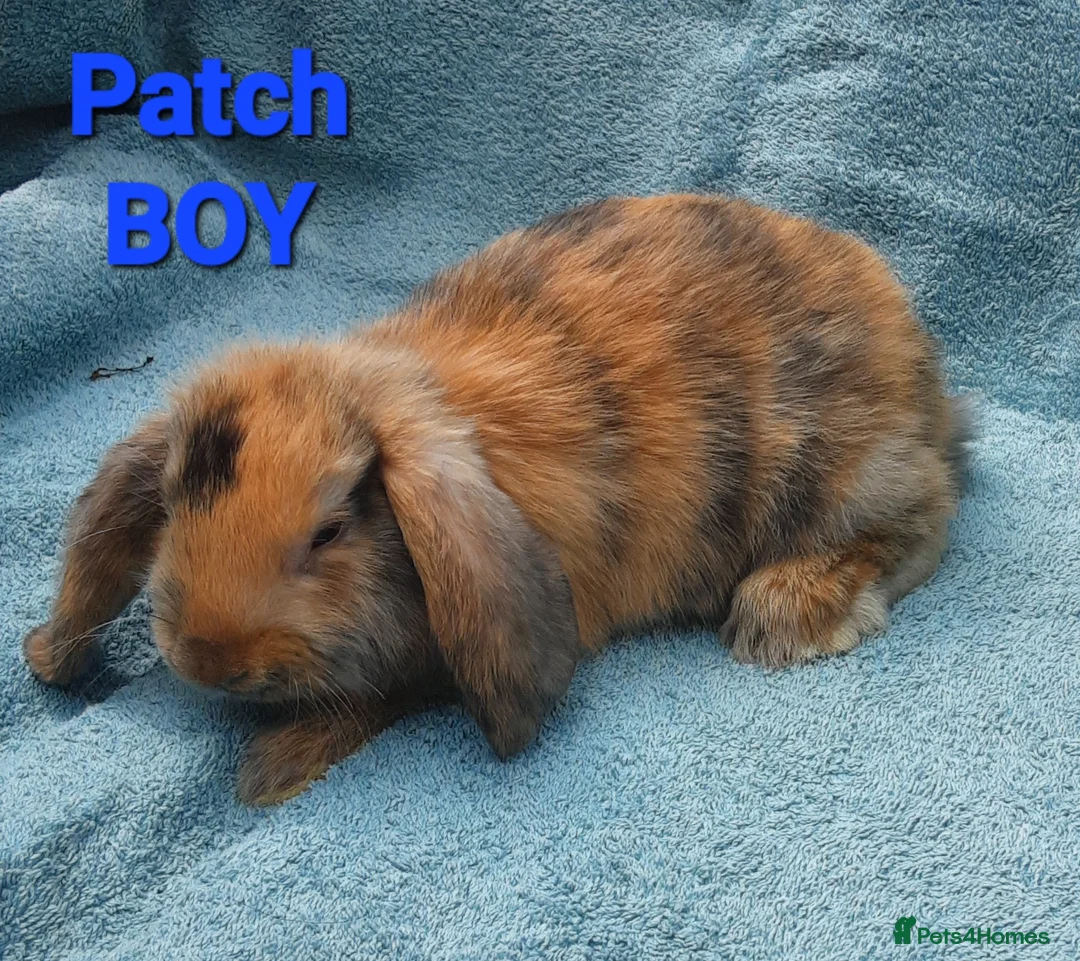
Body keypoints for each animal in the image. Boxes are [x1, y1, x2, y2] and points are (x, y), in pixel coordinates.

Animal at [23, 193, 974, 805]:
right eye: (173, 506)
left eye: (330, 529)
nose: (204, 659)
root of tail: (926, 376)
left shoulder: (424, 668)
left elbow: (375, 704)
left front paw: (273, 768)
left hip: (837, 473)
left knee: (920, 524)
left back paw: (786, 614)